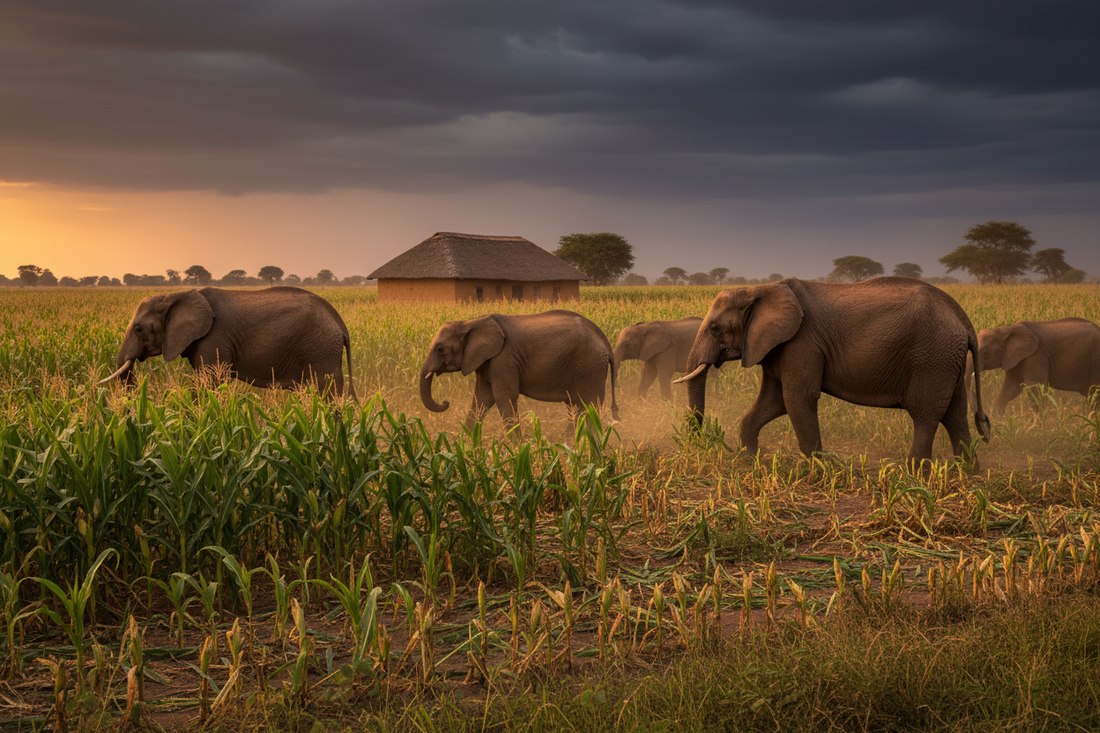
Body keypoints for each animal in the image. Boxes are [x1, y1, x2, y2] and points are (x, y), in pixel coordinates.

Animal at [99, 287, 356, 398]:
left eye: (139, 328)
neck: (172, 295)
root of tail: (340, 324)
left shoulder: (214, 338)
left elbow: (210, 382)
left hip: (321, 349)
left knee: (328, 393)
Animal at [419, 309, 619, 428]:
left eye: (440, 349)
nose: (445, 402)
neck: (470, 322)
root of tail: (606, 344)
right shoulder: (486, 361)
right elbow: (481, 399)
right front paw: (464, 447)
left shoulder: (504, 359)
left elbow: (504, 397)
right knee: (575, 406)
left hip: (589, 367)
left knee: (588, 407)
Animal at [675, 277, 990, 466]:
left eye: (715, 329)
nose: (697, 444)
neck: (760, 288)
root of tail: (964, 322)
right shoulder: (778, 346)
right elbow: (774, 402)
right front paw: (752, 460)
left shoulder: (801, 342)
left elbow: (797, 398)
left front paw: (818, 468)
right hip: (948, 361)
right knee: (955, 414)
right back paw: (967, 474)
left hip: (932, 358)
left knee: (926, 415)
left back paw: (912, 474)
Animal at [970, 317, 1100, 415]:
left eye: (985, 353)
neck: (1005, 329)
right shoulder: (1014, 359)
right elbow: (1011, 388)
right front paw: (999, 421)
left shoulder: (1036, 356)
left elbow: (1034, 388)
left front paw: (1039, 427)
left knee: (1094, 395)